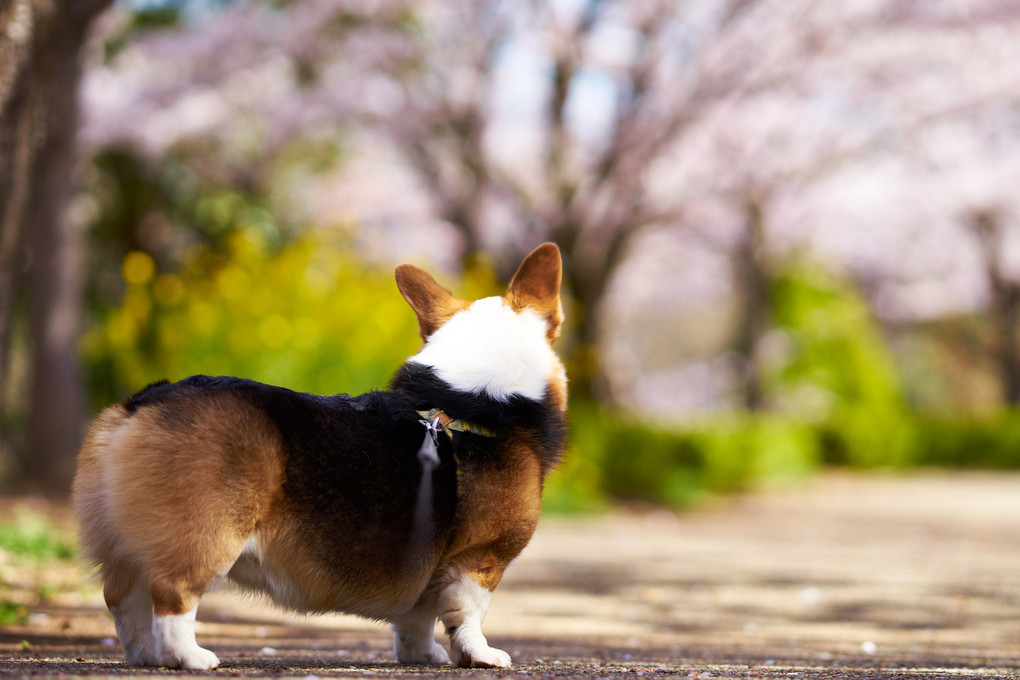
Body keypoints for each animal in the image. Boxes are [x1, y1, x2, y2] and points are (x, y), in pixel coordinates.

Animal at [69, 243, 567, 668]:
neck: (475, 398)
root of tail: (142, 404)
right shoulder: (481, 559)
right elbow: (467, 615)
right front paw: (482, 656)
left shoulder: (425, 568)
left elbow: (416, 620)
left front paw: (422, 657)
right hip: (206, 537)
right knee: (172, 596)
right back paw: (190, 658)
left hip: (125, 546)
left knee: (124, 600)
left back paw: (147, 658)